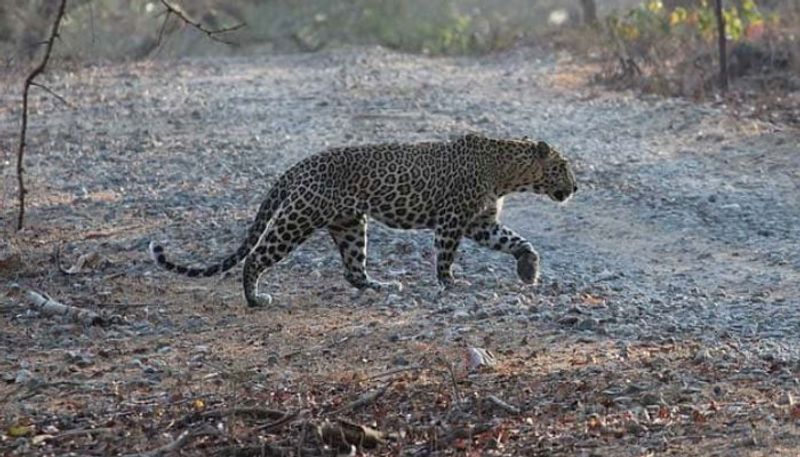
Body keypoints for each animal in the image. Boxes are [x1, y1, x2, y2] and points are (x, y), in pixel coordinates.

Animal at [150, 134, 576, 308]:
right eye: (562, 167)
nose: (575, 187)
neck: (507, 173)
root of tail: (299, 166)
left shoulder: (480, 222)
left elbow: (516, 240)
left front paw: (528, 270)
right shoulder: (453, 220)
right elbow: (445, 255)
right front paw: (450, 283)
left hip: (350, 225)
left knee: (353, 271)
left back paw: (382, 285)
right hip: (298, 218)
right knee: (256, 256)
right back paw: (255, 299)